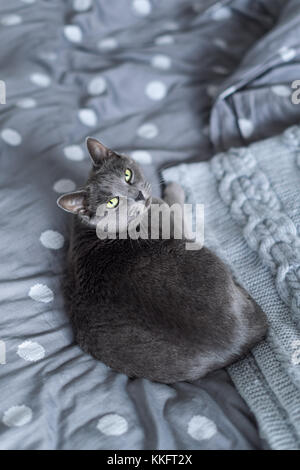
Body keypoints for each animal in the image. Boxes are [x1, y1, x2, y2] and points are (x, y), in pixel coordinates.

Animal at [56, 138, 268, 384]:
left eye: (127, 175)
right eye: (112, 202)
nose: (138, 195)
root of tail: (235, 340)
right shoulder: (176, 223)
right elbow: (177, 205)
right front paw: (175, 186)